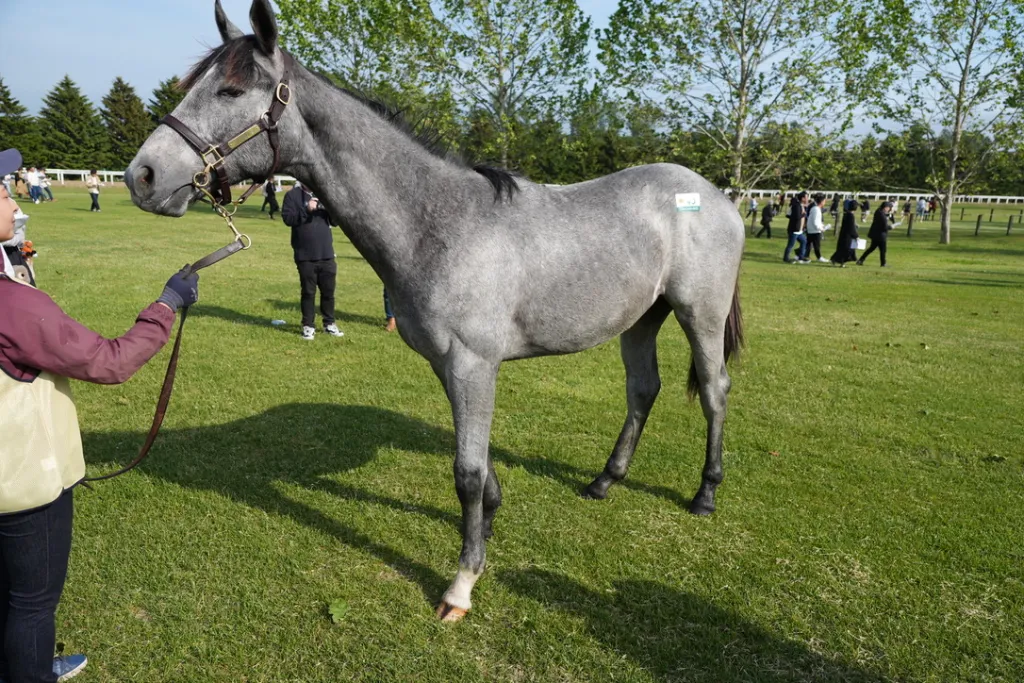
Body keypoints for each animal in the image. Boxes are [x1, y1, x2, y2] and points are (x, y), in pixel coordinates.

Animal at [124, 0, 745, 622]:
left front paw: (463, 583)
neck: (438, 222)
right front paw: (487, 529)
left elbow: (466, 471)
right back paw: (603, 483)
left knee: (714, 389)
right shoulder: (448, 365)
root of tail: (716, 195)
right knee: (643, 389)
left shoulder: (474, 364)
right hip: (642, 318)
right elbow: (479, 464)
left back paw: (705, 494)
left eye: (229, 90)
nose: (141, 176)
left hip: (699, 314)